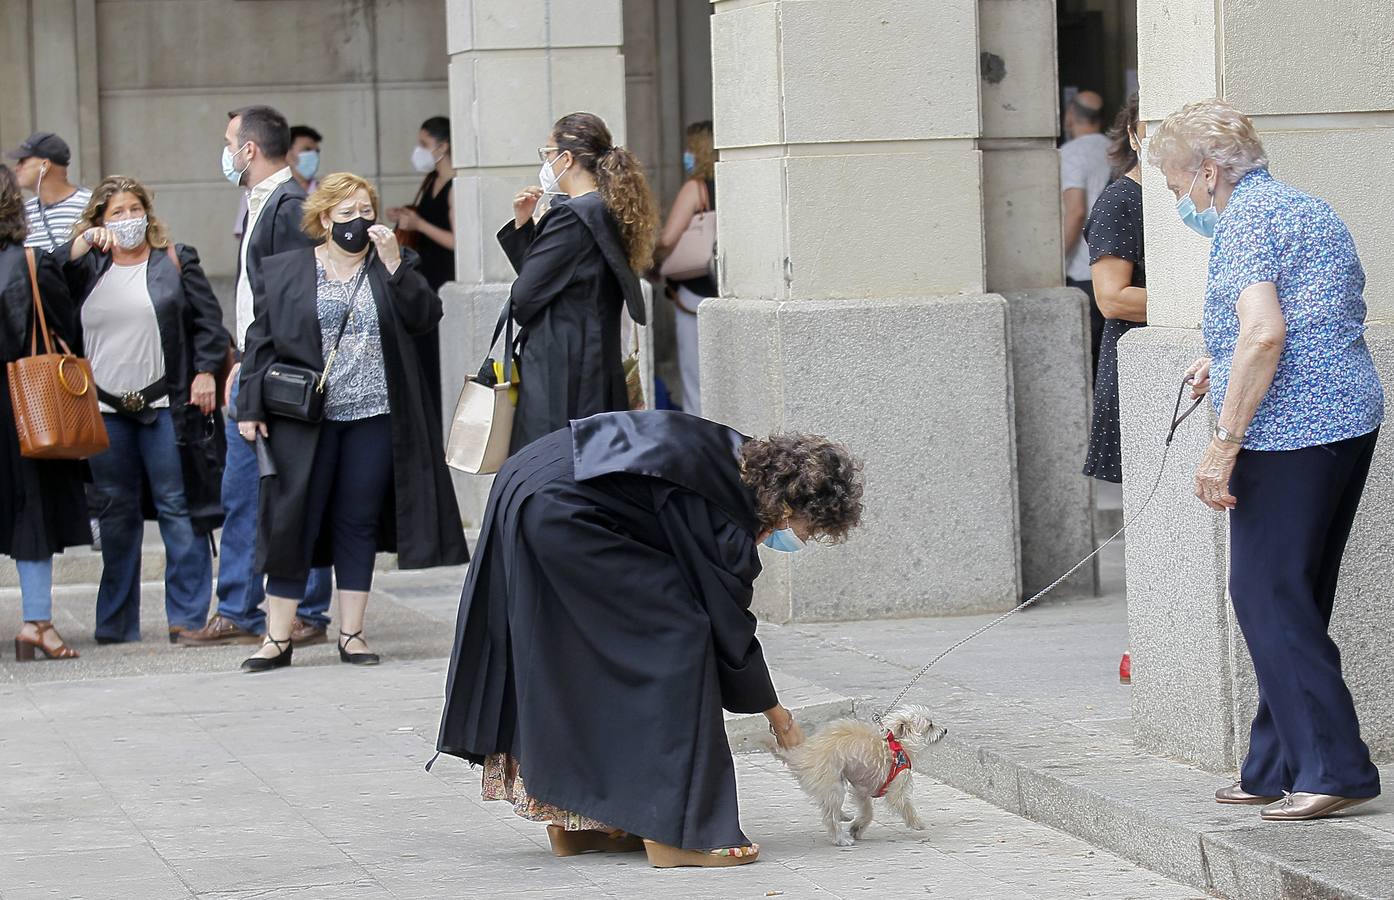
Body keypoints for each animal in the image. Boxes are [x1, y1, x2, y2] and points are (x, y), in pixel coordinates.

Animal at [780, 707, 942, 852]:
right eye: (930, 725)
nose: (945, 730)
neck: (897, 744)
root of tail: (802, 756)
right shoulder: (896, 789)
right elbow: (905, 805)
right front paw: (917, 823)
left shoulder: (862, 790)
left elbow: (867, 812)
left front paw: (857, 828)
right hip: (834, 786)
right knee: (830, 817)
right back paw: (840, 838)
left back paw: (844, 816)